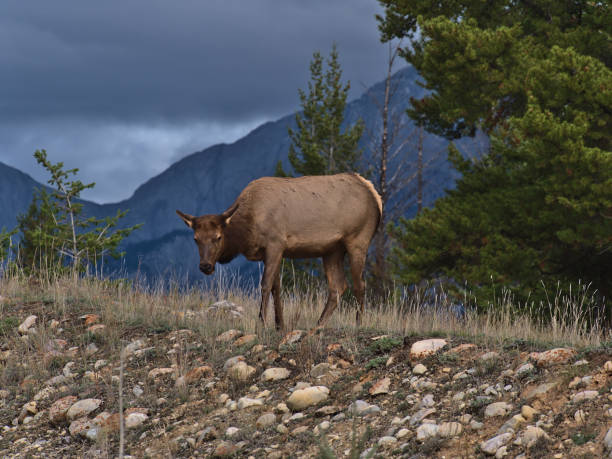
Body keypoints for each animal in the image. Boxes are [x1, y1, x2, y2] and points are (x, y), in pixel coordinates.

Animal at [175, 172, 380, 330]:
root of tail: (374, 194)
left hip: (357, 240)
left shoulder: (275, 244)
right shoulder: (269, 253)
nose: (205, 266)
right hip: (332, 250)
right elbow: (276, 287)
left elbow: (265, 284)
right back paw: (318, 325)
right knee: (338, 287)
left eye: (218, 237)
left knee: (360, 284)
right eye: (196, 239)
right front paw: (279, 324)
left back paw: (358, 324)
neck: (247, 231)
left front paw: (261, 324)